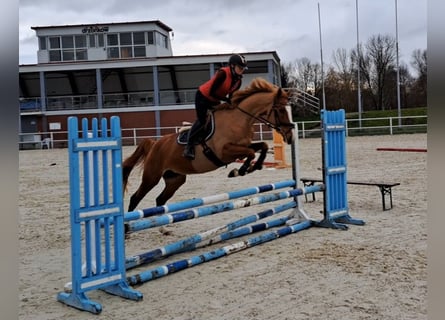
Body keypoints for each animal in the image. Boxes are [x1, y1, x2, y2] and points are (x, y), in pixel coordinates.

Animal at [123, 78, 294, 211]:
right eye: (280, 110)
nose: (290, 136)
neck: (239, 119)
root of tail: (154, 144)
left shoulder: (244, 145)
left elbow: (262, 146)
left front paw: (253, 167)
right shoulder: (225, 151)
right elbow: (251, 153)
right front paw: (239, 171)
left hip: (175, 178)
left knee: (160, 200)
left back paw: (162, 227)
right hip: (152, 176)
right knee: (135, 198)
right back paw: (127, 228)